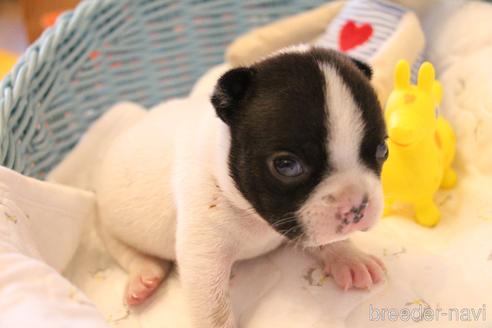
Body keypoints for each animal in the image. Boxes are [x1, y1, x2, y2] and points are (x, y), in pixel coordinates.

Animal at [96, 45, 388, 328]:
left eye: (383, 150)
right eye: (286, 165)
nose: (357, 205)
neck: (255, 217)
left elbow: (324, 239)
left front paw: (348, 257)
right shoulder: (203, 255)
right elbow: (213, 309)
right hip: (110, 223)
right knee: (123, 249)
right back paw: (143, 275)